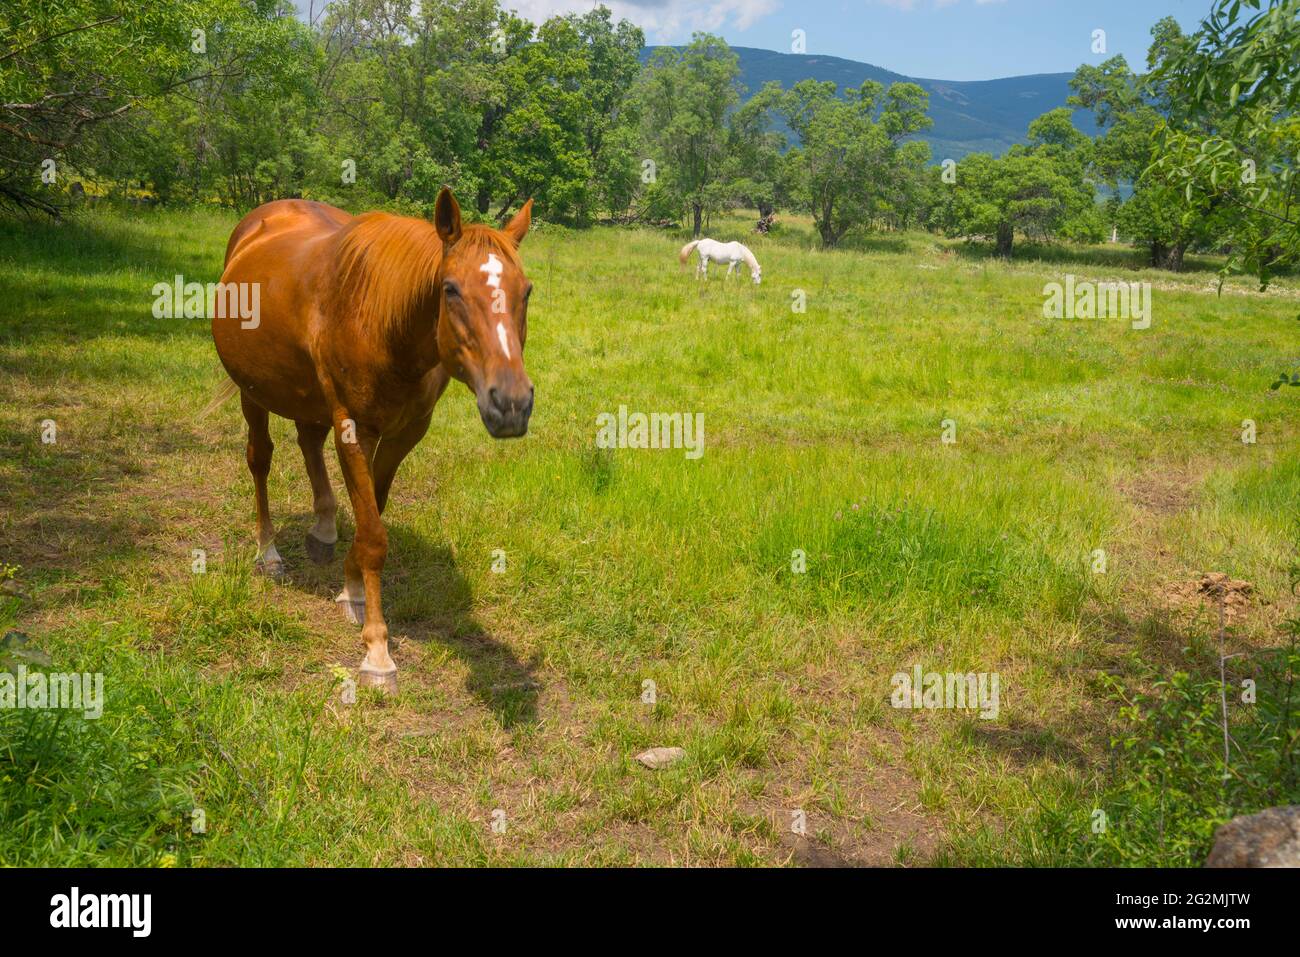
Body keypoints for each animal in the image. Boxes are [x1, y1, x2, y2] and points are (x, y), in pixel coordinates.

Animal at [207, 187, 535, 693]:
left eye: (527, 292)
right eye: (450, 289)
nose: (512, 403)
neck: (384, 320)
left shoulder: (405, 433)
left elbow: (370, 519)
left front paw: (351, 587)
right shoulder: (355, 429)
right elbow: (374, 535)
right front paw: (377, 651)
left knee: (308, 443)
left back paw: (323, 529)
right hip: (252, 392)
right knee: (260, 460)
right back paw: (268, 553)